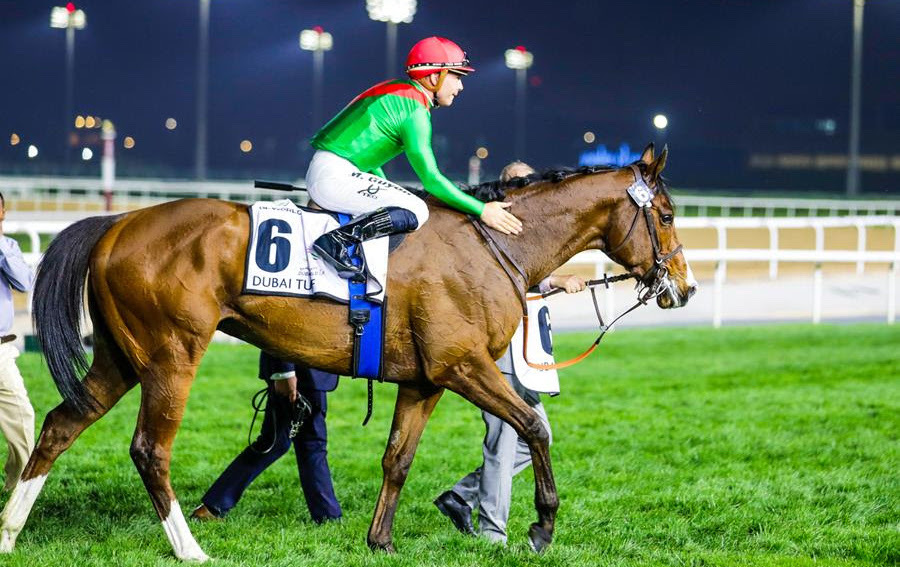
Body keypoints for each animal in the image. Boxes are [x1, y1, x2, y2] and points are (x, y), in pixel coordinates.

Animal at [0, 144, 696, 560]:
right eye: (665, 214)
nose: (683, 288)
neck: (497, 242)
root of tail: (115, 223)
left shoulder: (425, 380)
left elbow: (398, 458)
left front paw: (380, 540)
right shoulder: (463, 365)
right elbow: (532, 426)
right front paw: (542, 525)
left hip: (121, 356)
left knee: (59, 426)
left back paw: (9, 531)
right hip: (172, 355)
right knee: (150, 449)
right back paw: (189, 547)